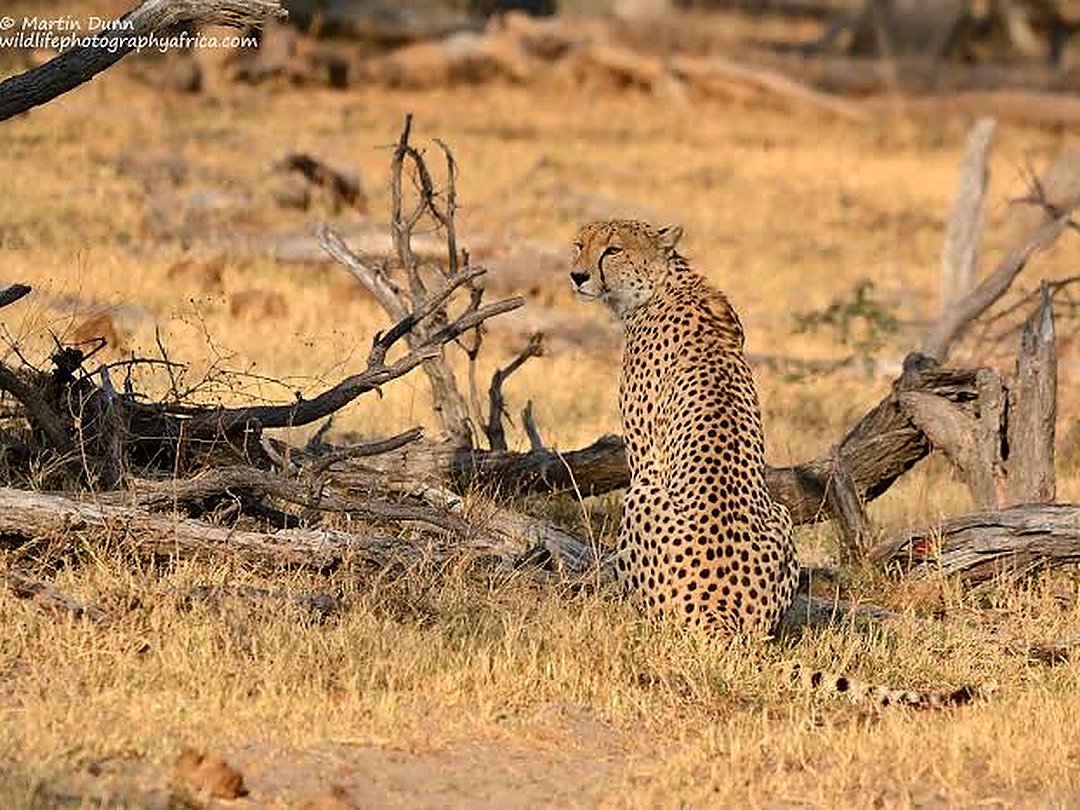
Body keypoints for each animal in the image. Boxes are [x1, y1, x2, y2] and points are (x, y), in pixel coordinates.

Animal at [569, 218, 974, 709]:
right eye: (579, 244)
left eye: (612, 250)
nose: (577, 276)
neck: (665, 283)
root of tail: (722, 615)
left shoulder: (645, 456)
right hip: (778, 516)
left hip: (642, 495)